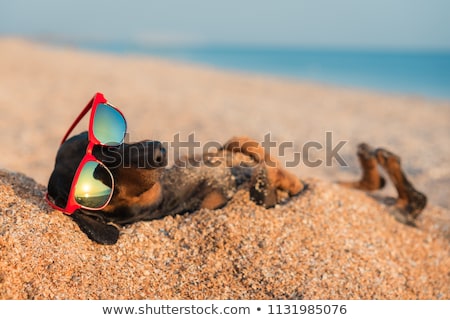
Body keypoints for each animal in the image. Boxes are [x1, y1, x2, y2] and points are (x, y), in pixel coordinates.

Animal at [47, 131, 428, 244]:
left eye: (111, 143)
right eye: (103, 173)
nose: (157, 148)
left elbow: (240, 144)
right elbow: (265, 184)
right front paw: (267, 178)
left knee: (377, 183)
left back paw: (375, 155)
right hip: (401, 206)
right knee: (413, 199)